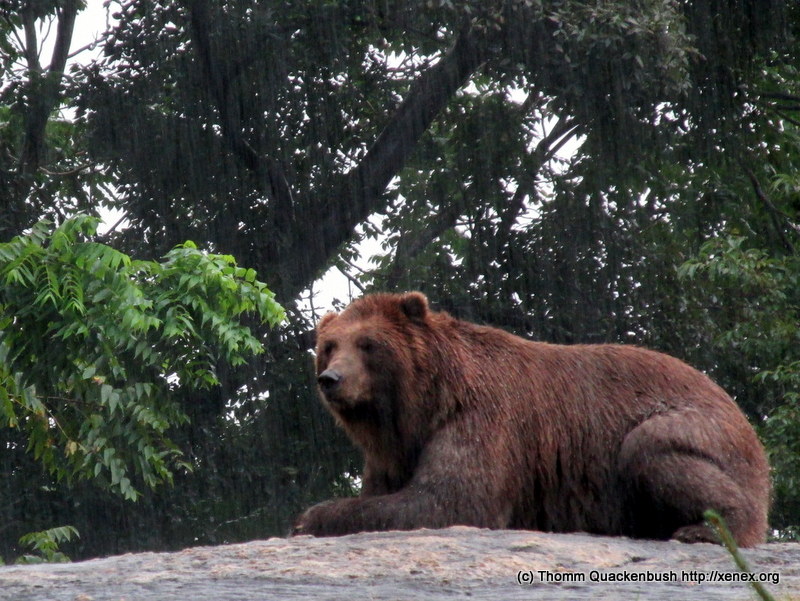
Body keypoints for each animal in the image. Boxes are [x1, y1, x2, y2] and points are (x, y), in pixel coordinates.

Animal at [292, 290, 768, 544]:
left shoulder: (483, 419)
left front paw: (310, 517)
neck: (424, 405)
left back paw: (702, 530)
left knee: (654, 448)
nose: (331, 379)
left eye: (368, 344)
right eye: (330, 345)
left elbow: (447, 499)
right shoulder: (393, 453)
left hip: (696, 427)